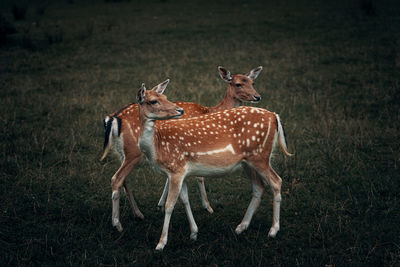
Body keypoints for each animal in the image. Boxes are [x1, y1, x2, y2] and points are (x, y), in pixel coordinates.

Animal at [101, 66, 262, 232]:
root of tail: (112, 118)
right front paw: (208, 207)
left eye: (253, 82)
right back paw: (118, 223)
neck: (210, 111)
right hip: (134, 152)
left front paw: (160, 204)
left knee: (125, 179)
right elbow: (199, 176)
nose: (257, 97)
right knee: (117, 178)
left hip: (123, 152)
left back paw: (138, 214)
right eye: (238, 84)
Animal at [137, 82, 294, 253]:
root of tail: (274, 116)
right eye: (153, 101)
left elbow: (170, 205)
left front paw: (161, 243)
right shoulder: (179, 171)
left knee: (276, 182)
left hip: (261, 156)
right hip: (248, 161)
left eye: (165, 97)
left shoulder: (175, 168)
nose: (180, 110)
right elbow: (185, 200)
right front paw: (194, 233)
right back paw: (241, 227)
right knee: (260, 186)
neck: (156, 148)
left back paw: (273, 230)